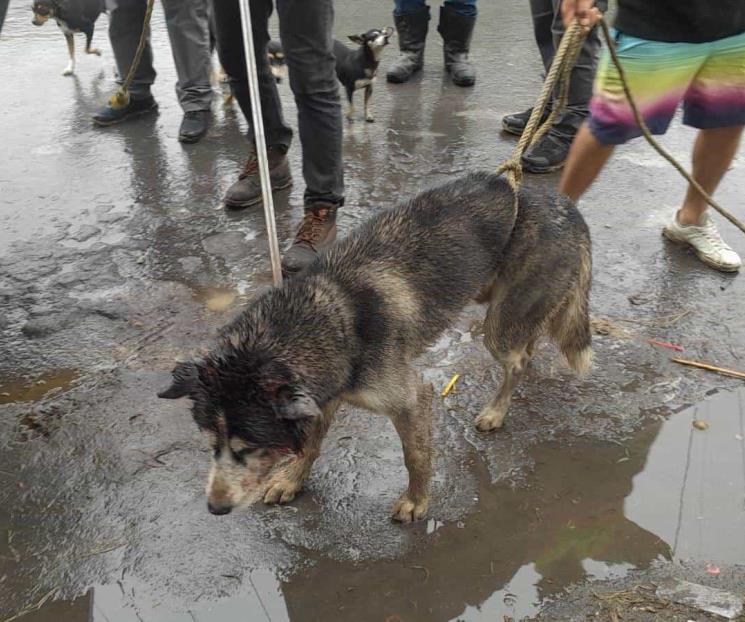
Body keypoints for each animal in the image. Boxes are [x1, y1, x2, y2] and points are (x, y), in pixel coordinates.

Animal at [158, 171, 592, 520]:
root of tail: (563, 203)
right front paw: (293, 479)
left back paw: (496, 411)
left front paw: (417, 501)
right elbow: (309, 445)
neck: (334, 316)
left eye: (248, 448)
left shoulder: (412, 398)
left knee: (515, 361)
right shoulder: (322, 396)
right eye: (211, 445)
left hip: (499, 325)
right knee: (527, 347)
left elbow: (415, 455)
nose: (215, 508)